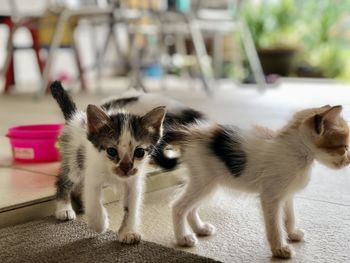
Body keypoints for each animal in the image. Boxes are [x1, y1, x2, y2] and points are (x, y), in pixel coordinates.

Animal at [50, 81, 167, 244]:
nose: (125, 168)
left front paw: (128, 232)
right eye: (111, 151)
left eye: (139, 152)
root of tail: (76, 117)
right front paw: (99, 224)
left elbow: (132, 208)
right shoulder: (93, 175)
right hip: (74, 162)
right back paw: (65, 209)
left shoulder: (134, 183)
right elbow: (94, 201)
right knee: (64, 181)